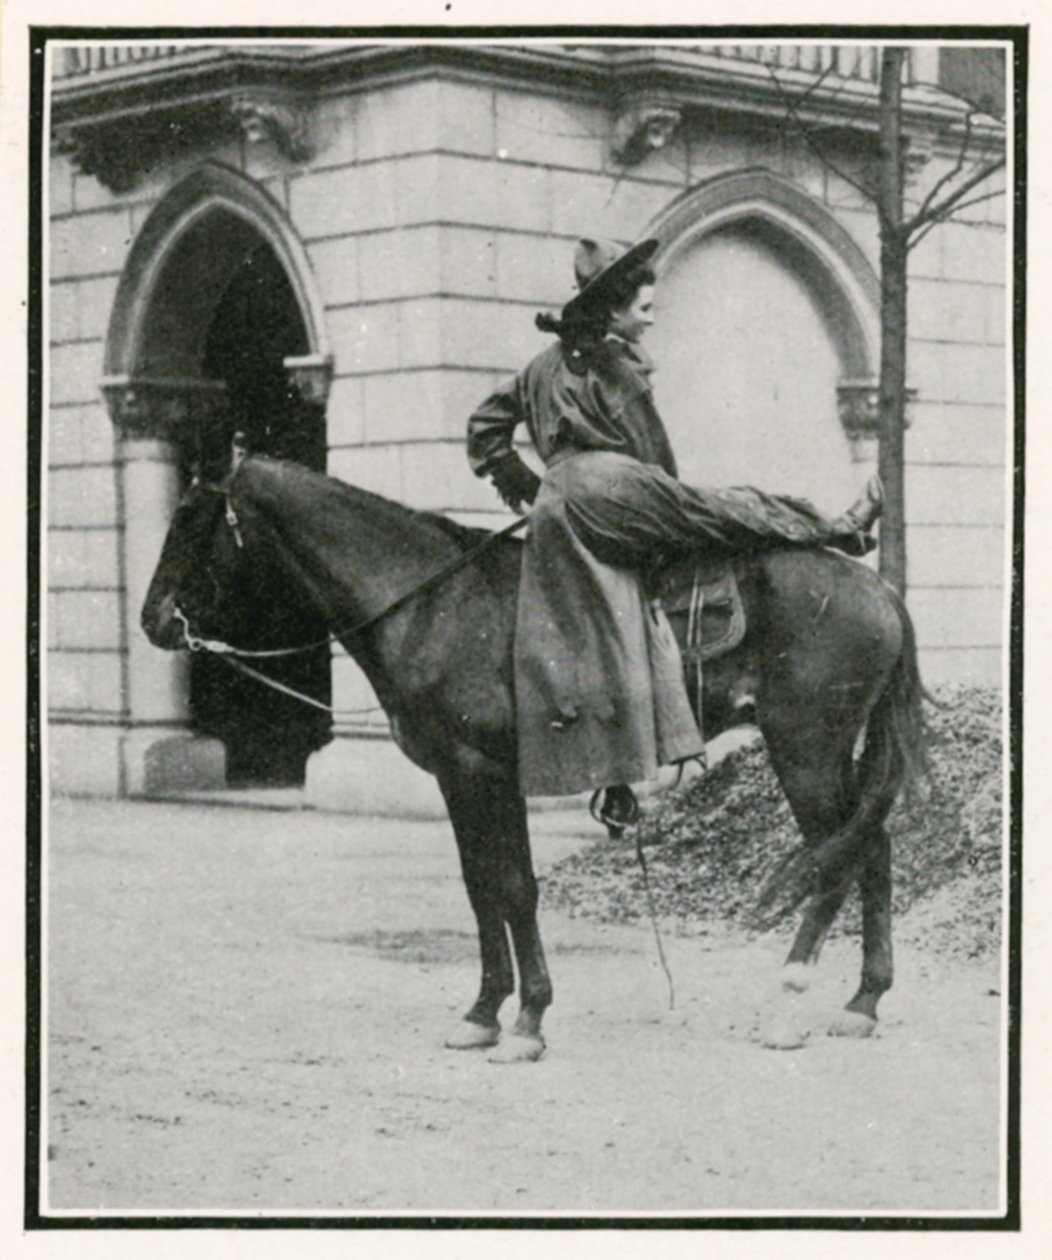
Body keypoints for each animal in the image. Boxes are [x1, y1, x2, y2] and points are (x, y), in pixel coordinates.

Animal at [144, 453, 927, 1063]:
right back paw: (863, 1001)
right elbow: (480, 887)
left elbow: (515, 887)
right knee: (874, 849)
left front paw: (527, 1019)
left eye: (191, 521)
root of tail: (881, 588)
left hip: (806, 746)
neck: (436, 605)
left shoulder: (484, 772)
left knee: (836, 859)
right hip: (831, 751)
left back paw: (790, 1002)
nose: (153, 621)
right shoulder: (458, 779)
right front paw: (483, 1014)